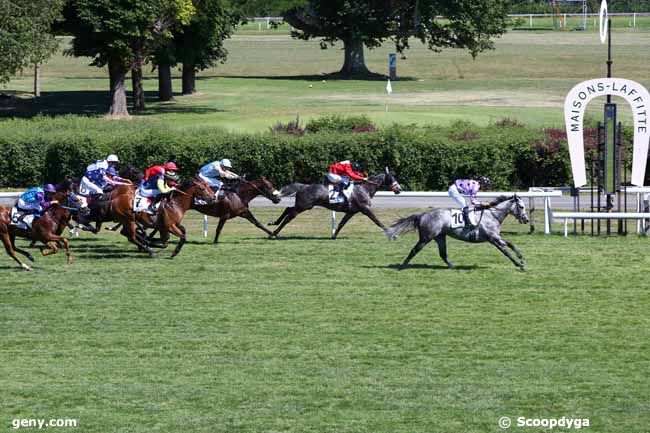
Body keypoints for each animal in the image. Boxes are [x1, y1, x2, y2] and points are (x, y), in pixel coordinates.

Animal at [268, 167, 400, 238]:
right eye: (392, 178)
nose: (399, 189)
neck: (364, 189)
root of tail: (303, 186)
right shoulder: (365, 209)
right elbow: (377, 221)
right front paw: (392, 233)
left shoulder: (351, 212)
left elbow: (342, 223)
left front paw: (334, 235)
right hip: (303, 206)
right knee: (289, 217)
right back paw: (274, 233)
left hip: (303, 206)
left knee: (288, 209)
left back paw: (273, 223)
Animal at [384, 196, 528, 270]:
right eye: (521, 207)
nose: (526, 219)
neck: (493, 215)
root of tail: (422, 215)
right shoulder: (493, 238)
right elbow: (506, 251)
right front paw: (520, 264)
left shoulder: (495, 238)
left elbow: (511, 245)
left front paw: (522, 260)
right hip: (426, 237)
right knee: (414, 250)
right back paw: (402, 266)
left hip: (440, 237)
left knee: (443, 254)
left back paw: (453, 267)